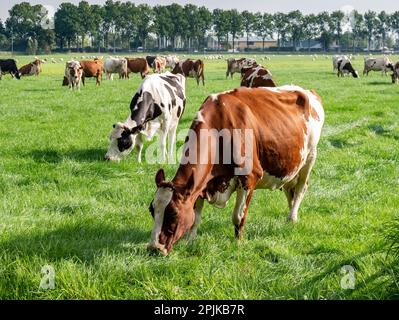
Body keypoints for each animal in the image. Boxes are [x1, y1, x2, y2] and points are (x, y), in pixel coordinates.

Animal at [147, 85, 324, 255]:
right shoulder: (200, 184)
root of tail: (308, 91)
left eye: (173, 214)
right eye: (151, 210)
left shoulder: (249, 177)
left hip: (309, 158)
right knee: (289, 189)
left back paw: (293, 217)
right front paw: (190, 241)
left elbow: (238, 217)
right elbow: (195, 217)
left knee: (300, 188)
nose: (154, 248)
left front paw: (238, 242)